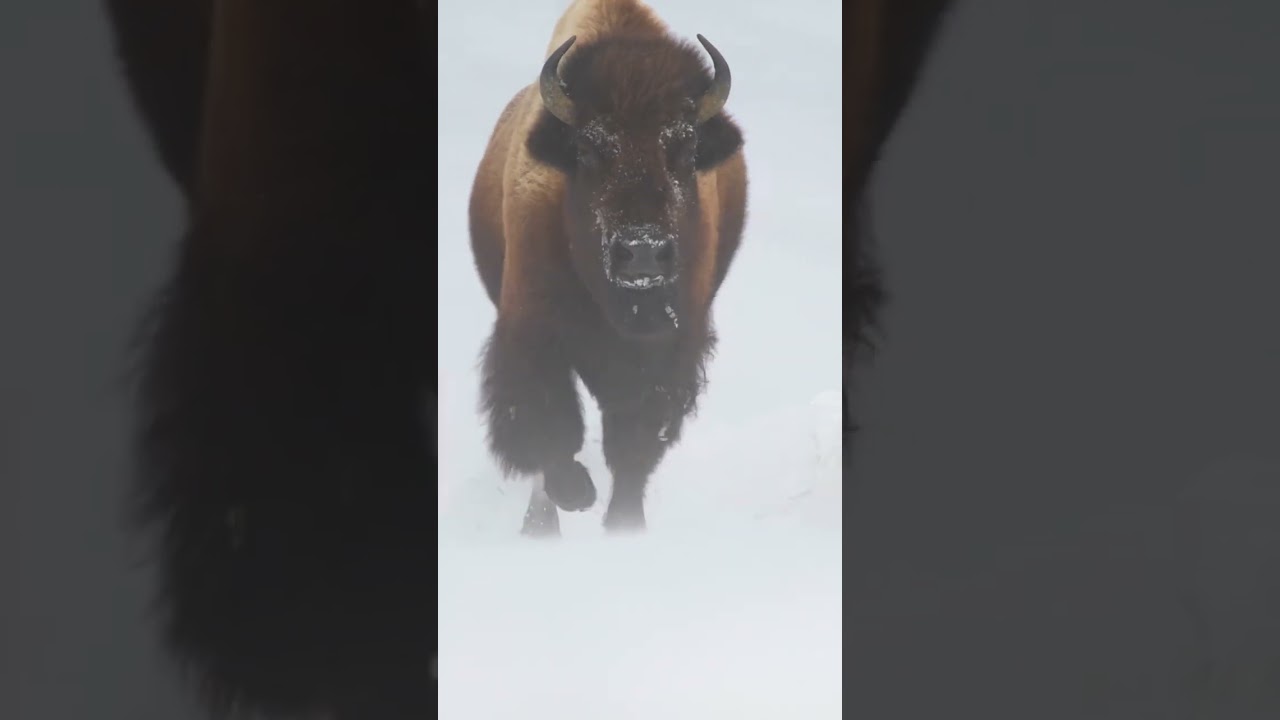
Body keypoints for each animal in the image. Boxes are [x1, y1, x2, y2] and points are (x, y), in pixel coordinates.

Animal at [469, 0, 749, 535]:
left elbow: (634, 443)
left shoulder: (668, 351)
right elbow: (550, 426)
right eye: (588, 149)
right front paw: (575, 495)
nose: (642, 252)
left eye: (685, 150)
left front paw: (624, 523)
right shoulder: (533, 331)